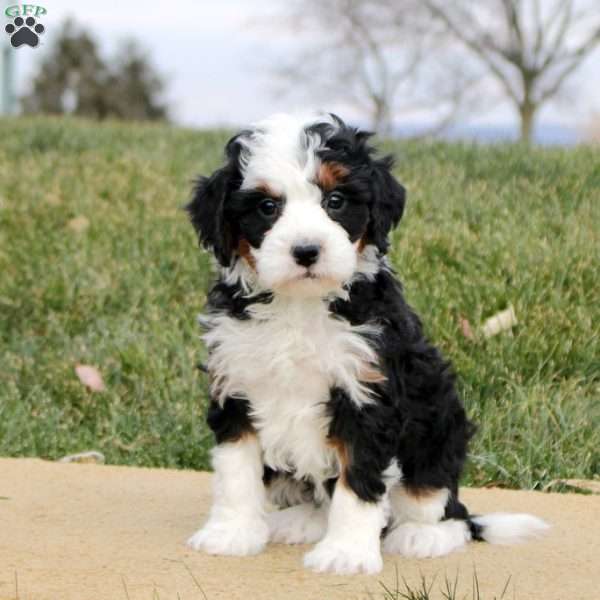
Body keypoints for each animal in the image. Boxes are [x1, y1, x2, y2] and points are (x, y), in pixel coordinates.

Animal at [184, 113, 548, 576]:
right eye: (267, 207)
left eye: (336, 200)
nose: (307, 251)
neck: (300, 306)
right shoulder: (236, 384)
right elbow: (235, 470)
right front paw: (231, 532)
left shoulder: (367, 394)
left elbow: (358, 482)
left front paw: (346, 553)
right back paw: (300, 520)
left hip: (438, 428)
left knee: (443, 507)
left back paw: (423, 535)